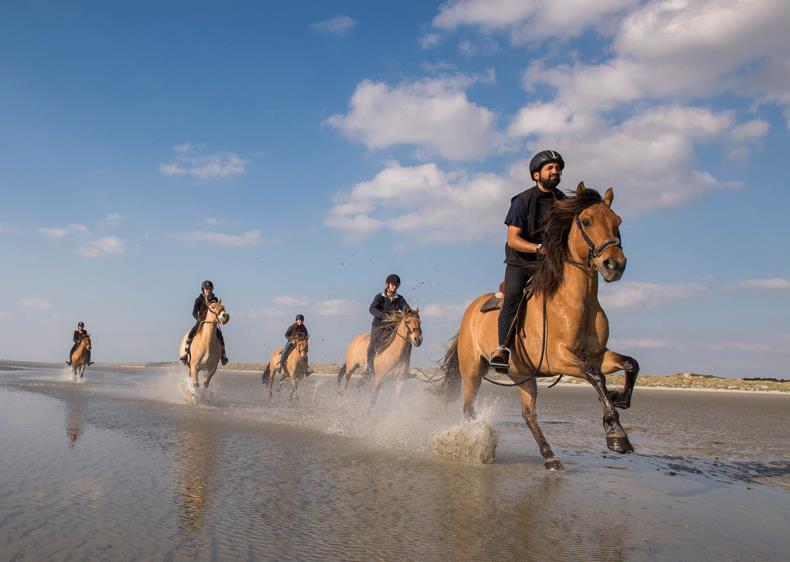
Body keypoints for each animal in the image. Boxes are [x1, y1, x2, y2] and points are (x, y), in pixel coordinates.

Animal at [440, 183, 639, 470]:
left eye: (618, 221)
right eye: (587, 221)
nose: (615, 264)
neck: (575, 301)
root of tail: (468, 313)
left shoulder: (597, 354)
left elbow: (630, 364)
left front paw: (620, 398)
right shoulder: (558, 358)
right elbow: (595, 376)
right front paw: (616, 433)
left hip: (522, 375)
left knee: (529, 414)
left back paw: (550, 456)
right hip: (472, 371)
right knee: (469, 407)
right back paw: (474, 442)